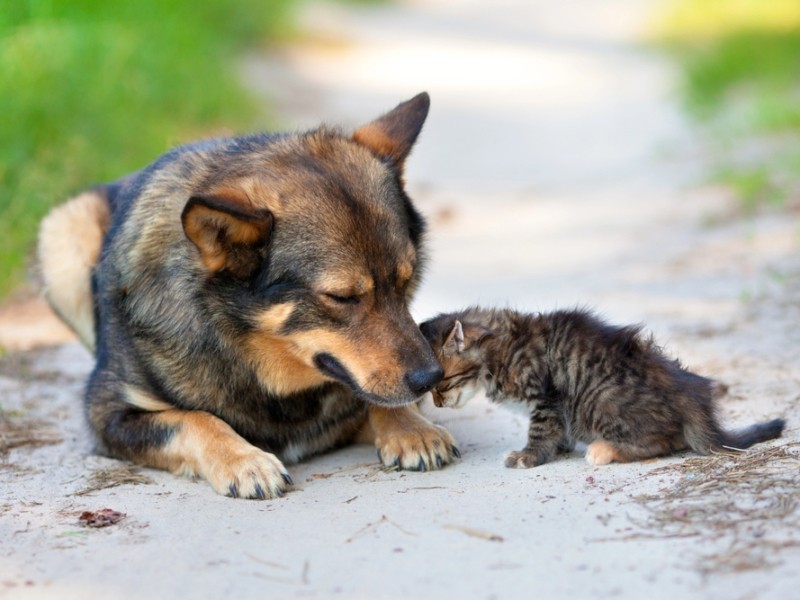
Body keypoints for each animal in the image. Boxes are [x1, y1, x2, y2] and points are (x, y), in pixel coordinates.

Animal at [37, 92, 460, 496]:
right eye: (342, 298)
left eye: (406, 280)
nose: (431, 377)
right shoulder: (108, 414)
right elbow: (194, 419)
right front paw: (243, 460)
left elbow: (374, 399)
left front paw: (411, 429)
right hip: (64, 232)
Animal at [422, 310, 784, 468]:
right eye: (430, 389)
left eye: (442, 384)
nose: (437, 405)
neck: (500, 348)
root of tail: (691, 395)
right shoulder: (553, 406)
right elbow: (556, 431)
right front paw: (560, 448)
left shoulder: (546, 397)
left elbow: (540, 431)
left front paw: (529, 456)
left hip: (600, 400)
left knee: (662, 442)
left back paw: (604, 450)